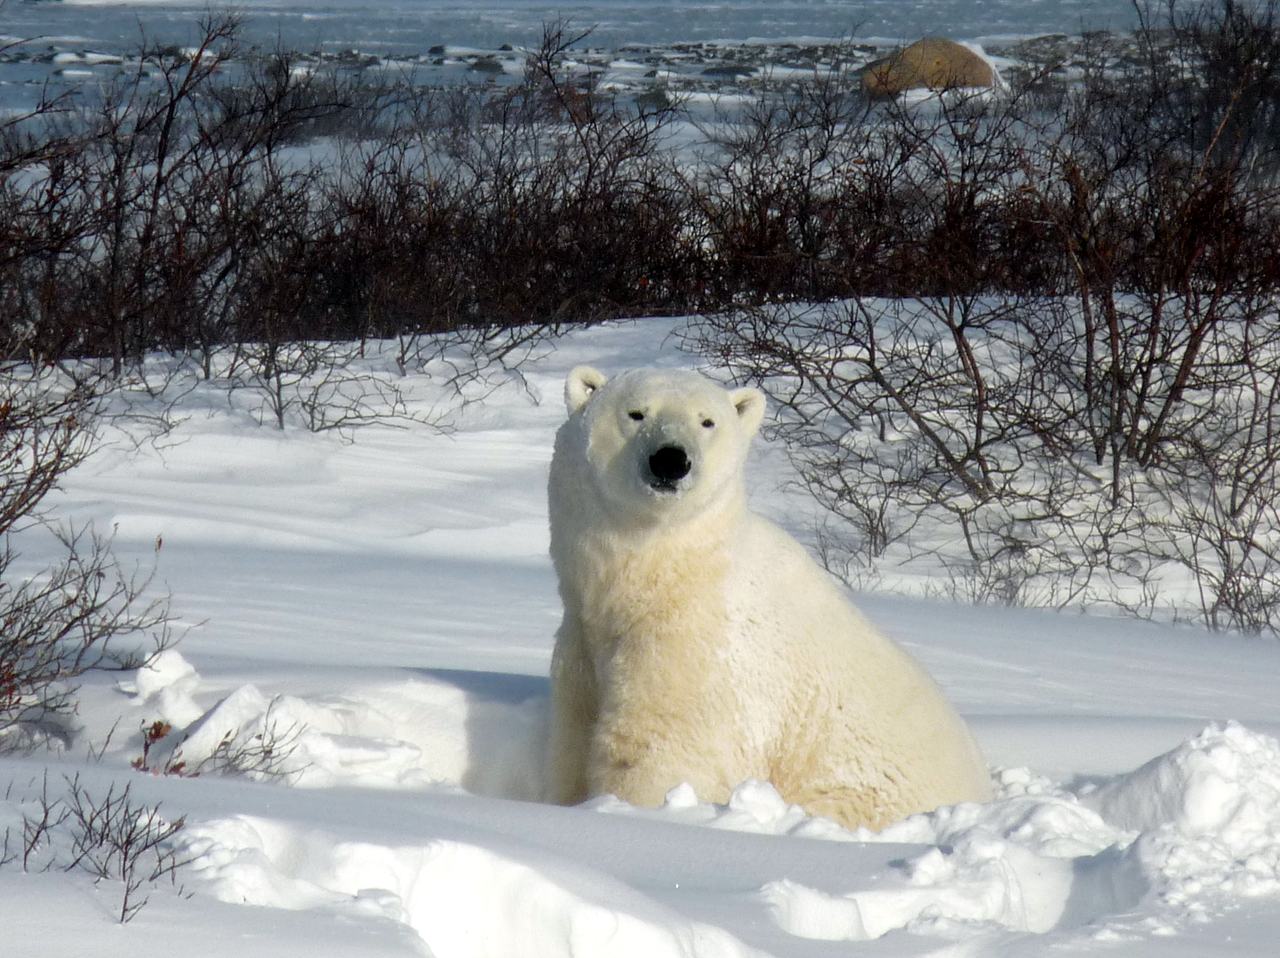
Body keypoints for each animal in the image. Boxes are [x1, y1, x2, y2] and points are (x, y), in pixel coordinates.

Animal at [544, 365, 991, 830]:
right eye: (636, 413)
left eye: (708, 421)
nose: (671, 460)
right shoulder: (583, 636)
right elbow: (572, 736)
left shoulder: (699, 653)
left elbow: (660, 751)